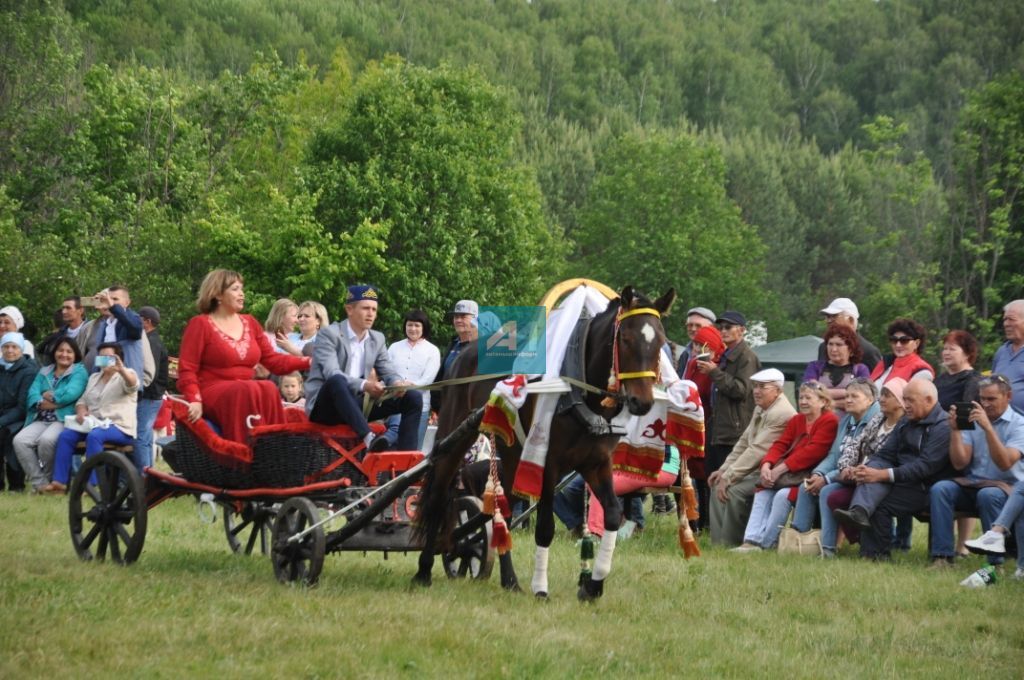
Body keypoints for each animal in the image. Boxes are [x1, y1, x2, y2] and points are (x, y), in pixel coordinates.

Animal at [411, 284, 675, 602]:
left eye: (661, 341)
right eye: (625, 338)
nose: (642, 402)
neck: (578, 392)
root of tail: (464, 351)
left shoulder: (596, 463)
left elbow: (612, 514)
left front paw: (593, 584)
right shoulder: (548, 465)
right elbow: (545, 527)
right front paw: (541, 588)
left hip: (512, 455)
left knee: (502, 511)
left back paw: (499, 573)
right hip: (457, 436)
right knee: (438, 495)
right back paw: (425, 570)